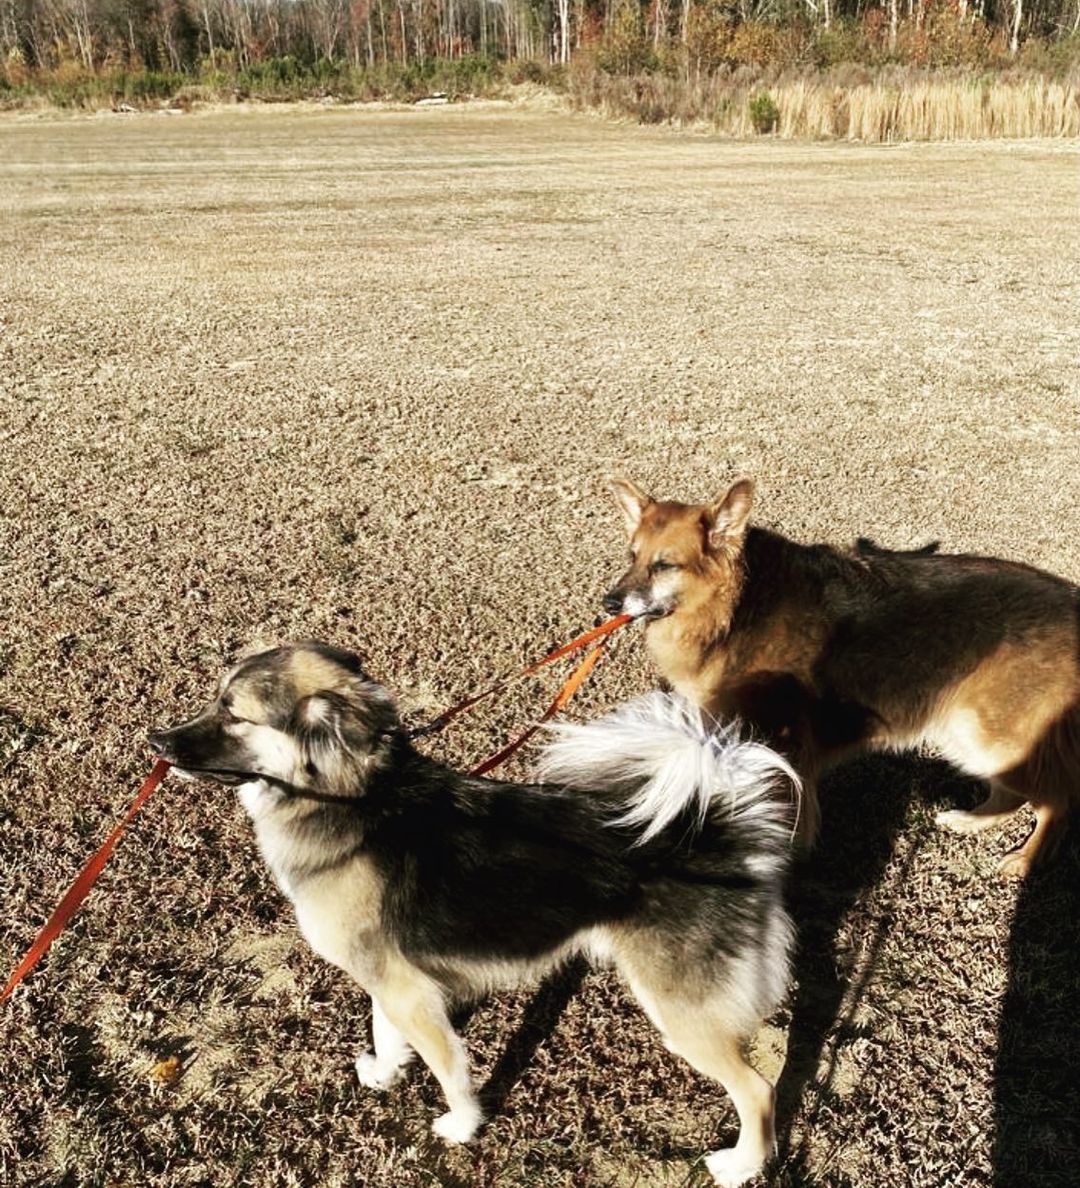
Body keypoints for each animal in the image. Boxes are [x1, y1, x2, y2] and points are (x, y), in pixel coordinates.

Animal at [603, 477, 1078, 879]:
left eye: (665, 565)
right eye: (632, 557)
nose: (610, 603)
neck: (734, 607)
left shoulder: (781, 746)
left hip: (987, 735)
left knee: (1057, 799)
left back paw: (1026, 859)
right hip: (960, 731)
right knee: (1014, 794)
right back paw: (970, 821)